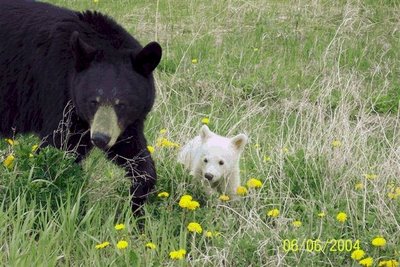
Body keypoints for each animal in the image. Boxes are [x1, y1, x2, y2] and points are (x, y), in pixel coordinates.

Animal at [0, 0, 162, 214]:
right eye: (93, 101)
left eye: (122, 104)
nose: (100, 139)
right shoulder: (57, 93)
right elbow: (57, 149)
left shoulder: (122, 124)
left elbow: (131, 149)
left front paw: (137, 201)